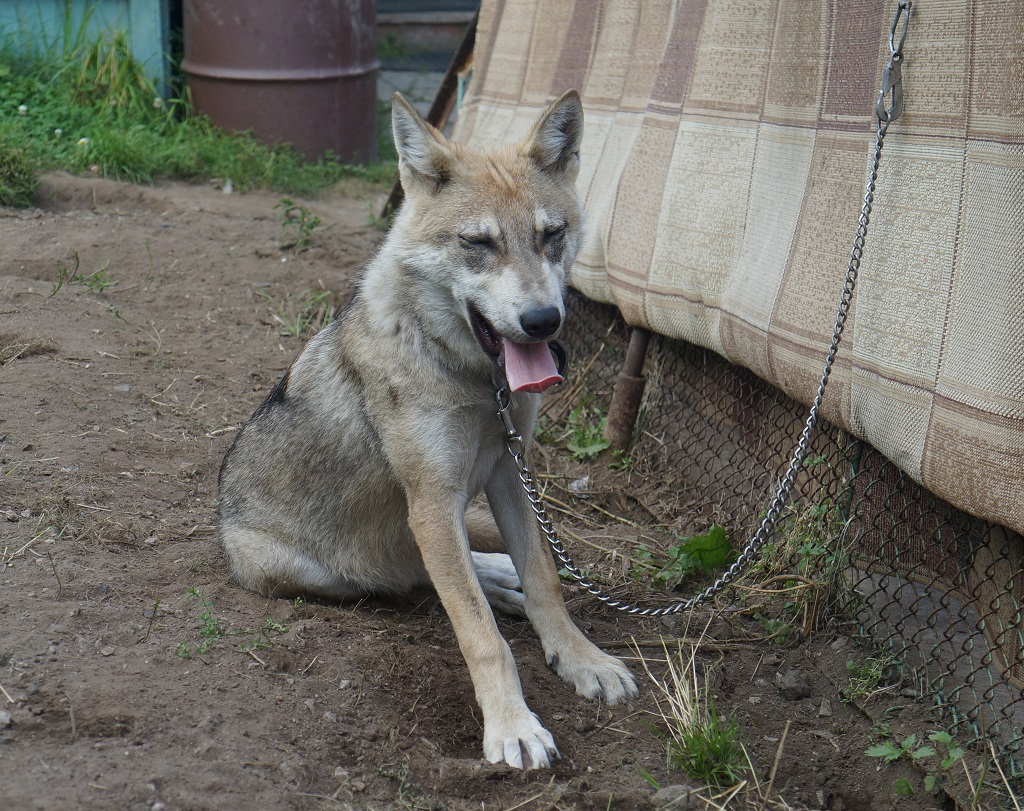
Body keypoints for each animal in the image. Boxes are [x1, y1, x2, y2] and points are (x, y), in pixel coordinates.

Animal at [219, 91, 634, 770]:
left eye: (551, 236)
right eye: (478, 243)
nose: (543, 322)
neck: (480, 386)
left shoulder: (510, 474)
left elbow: (546, 581)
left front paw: (582, 661)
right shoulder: (433, 501)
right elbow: (478, 630)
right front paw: (512, 726)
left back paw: (500, 578)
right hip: (318, 569)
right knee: (411, 577)